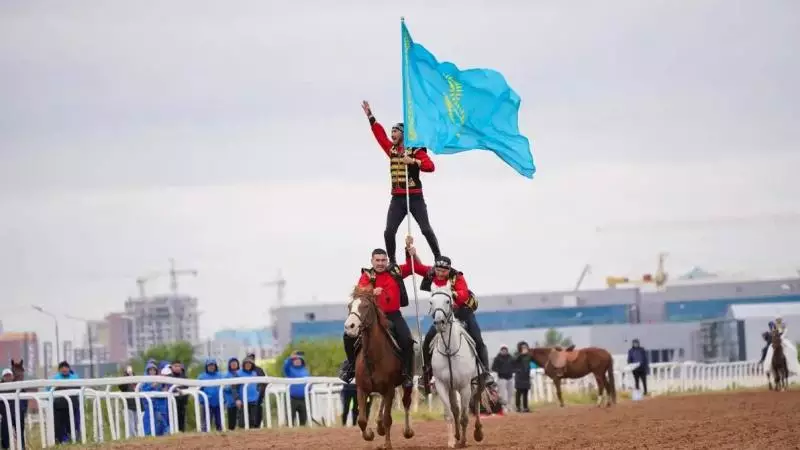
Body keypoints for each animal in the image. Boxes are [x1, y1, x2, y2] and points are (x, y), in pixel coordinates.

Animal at [346, 286, 416, 448]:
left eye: (365, 306)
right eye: (349, 306)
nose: (349, 327)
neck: (373, 357)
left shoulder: (390, 389)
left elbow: (388, 418)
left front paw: (387, 444)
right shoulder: (362, 389)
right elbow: (362, 419)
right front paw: (370, 434)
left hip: (404, 384)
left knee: (406, 402)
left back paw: (407, 431)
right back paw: (379, 427)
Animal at [428, 288, 484, 446]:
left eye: (448, 301)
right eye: (431, 302)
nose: (439, 322)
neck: (449, 350)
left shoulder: (465, 387)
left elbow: (465, 416)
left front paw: (464, 441)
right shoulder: (442, 385)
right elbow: (449, 414)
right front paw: (452, 442)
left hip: (476, 383)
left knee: (476, 403)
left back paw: (478, 432)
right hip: (452, 388)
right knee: (455, 409)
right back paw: (457, 435)